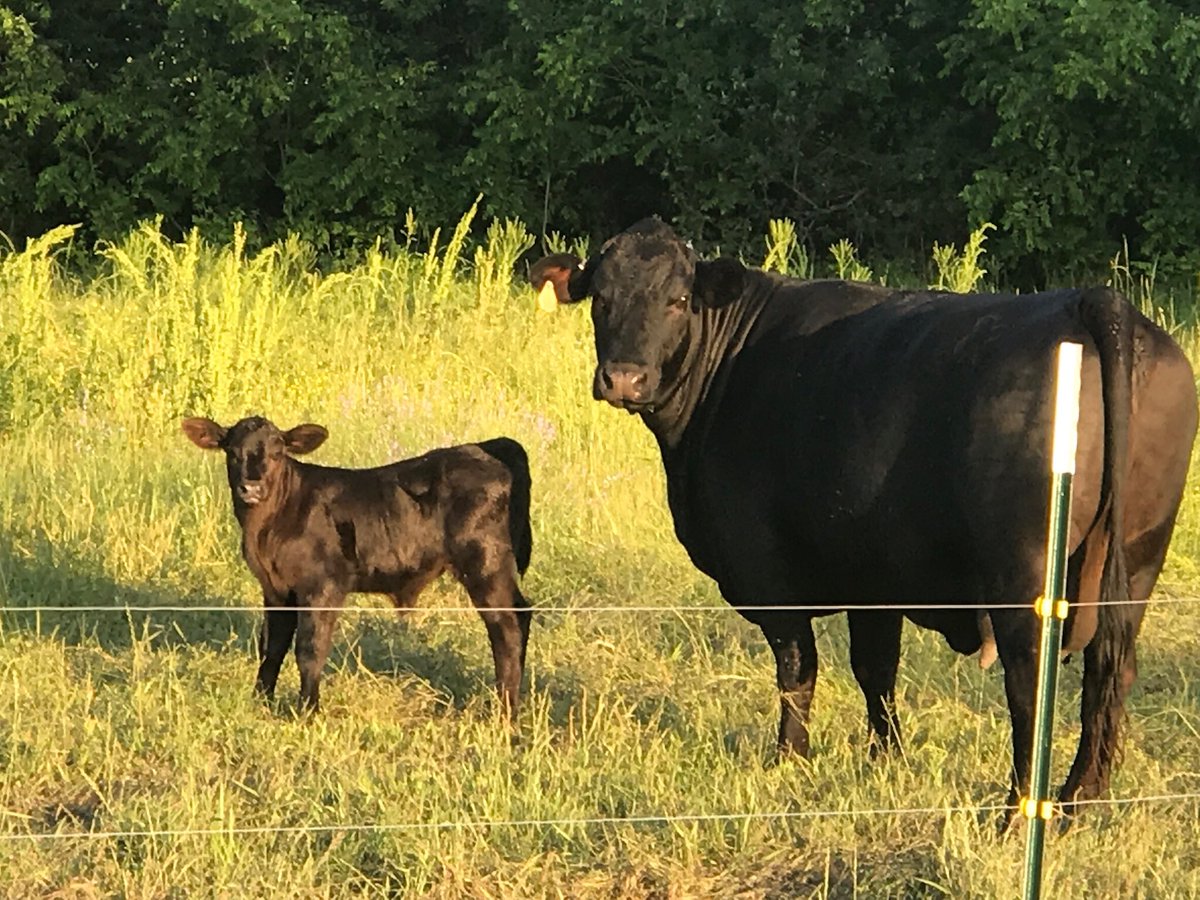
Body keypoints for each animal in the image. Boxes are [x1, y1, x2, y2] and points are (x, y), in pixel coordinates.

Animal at [182, 416, 534, 717]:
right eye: (232, 451)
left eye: (278, 451)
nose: (251, 487)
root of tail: (485, 447)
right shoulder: (276, 589)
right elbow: (271, 646)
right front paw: (261, 702)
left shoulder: (323, 587)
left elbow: (309, 650)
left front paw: (307, 711)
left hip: (486, 565)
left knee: (506, 627)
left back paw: (506, 712)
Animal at [529, 217, 1197, 818]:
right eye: (602, 298)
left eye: (676, 300)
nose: (624, 377)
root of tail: (1089, 300)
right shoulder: (873, 574)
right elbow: (874, 668)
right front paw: (884, 759)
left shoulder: (767, 569)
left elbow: (798, 666)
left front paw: (790, 760)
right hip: (1136, 559)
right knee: (1109, 673)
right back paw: (1082, 798)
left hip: (1023, 575)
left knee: (1030, 683)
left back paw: (1019, 809)